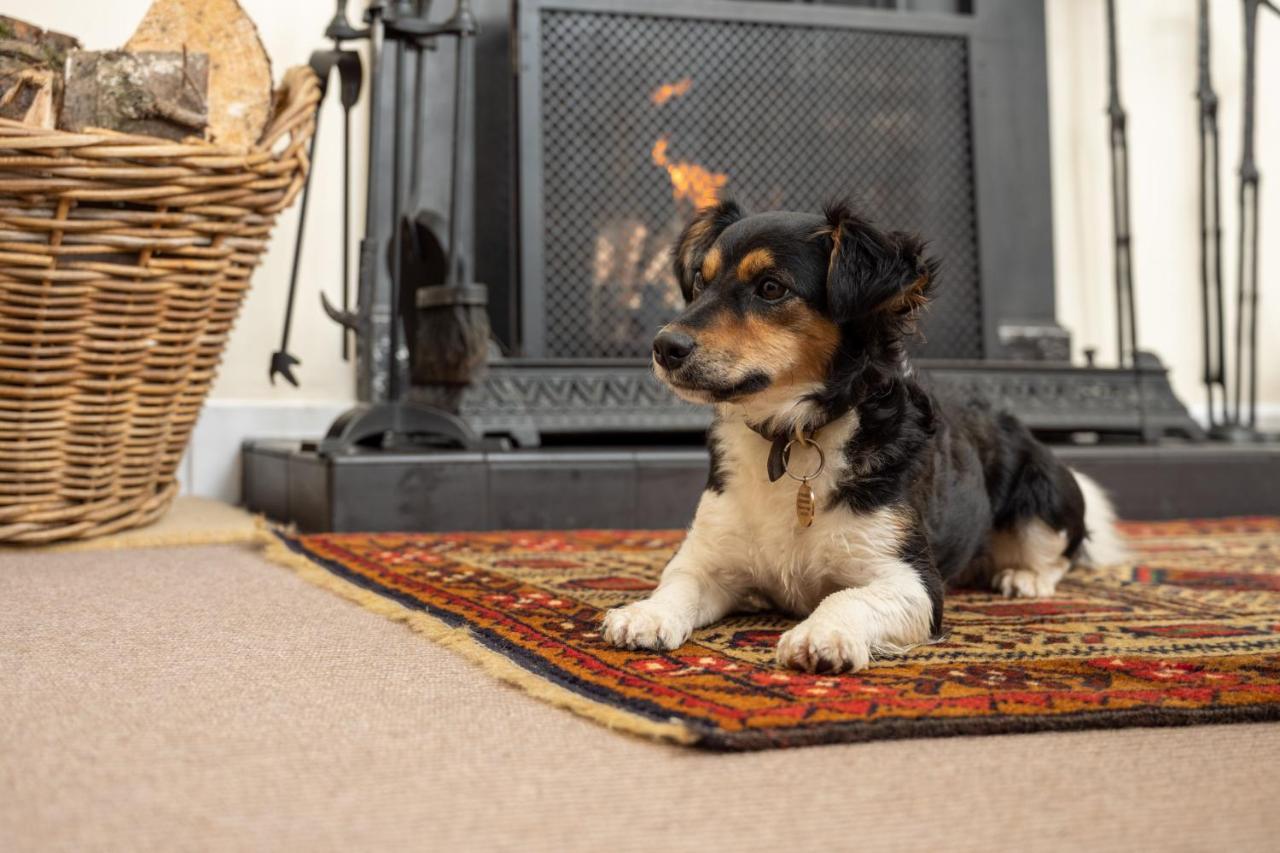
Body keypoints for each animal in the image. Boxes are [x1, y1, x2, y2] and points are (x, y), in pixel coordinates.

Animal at [599, 201, 1121, 671]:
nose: (664, 347)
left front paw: (821, 636)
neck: (793, 435)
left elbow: (847, 598)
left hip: (1045, 497)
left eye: (770, 287)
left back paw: (1024, 578)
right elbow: (677, 583)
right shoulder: (708, 557)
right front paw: (645, 614)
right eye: (701, 283)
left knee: (1063, 552)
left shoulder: (913, 581)